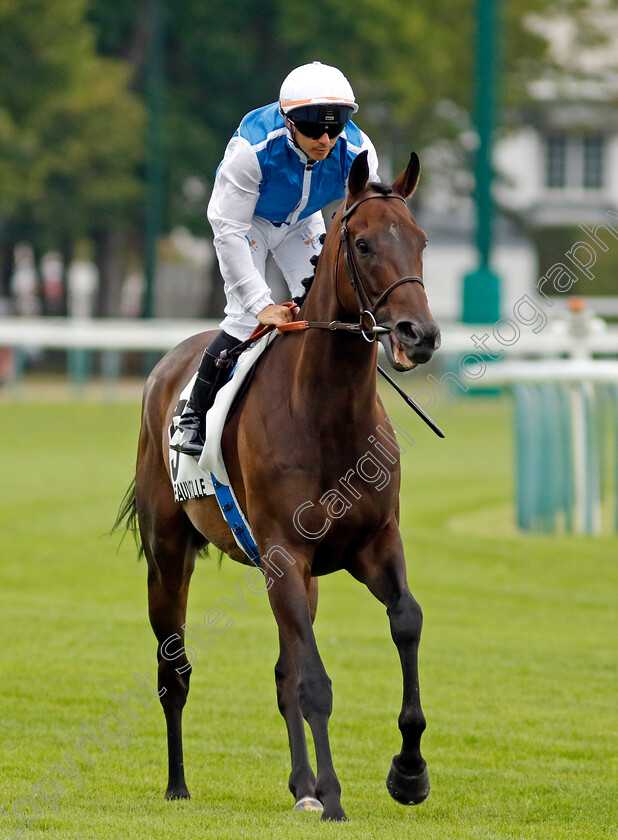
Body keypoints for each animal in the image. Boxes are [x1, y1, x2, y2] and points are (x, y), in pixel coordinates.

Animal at [115, 151, 440, 820]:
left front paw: (409, 773)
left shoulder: (373, 544)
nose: (417, 335)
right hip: (168, 556)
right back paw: (179, 784)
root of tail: (164, 368)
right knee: (174, 669)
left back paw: (301, 786)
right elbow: (314, 680)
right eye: (364, 244)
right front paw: (335, 795)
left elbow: (405, 621)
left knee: (284, 667)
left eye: (421, 240)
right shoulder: (284, 554)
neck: (328, 414)